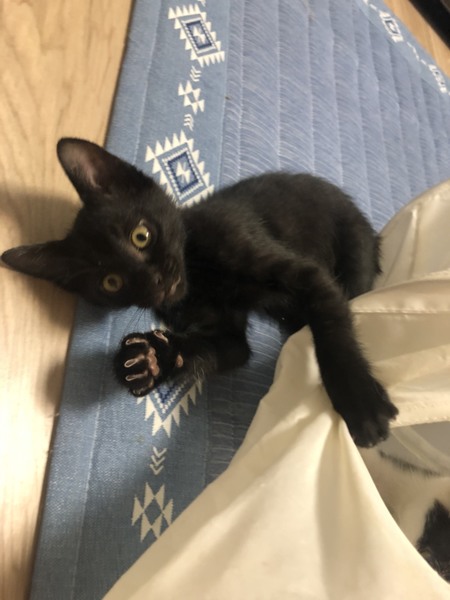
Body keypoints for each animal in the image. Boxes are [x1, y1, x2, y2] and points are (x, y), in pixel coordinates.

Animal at [2, 138, 398, 448]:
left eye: (141, 235)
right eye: (111, 282)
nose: (156, 282)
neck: (200, 279)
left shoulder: (305, 274)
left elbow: (333, 330)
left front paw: (360, 402)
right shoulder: (223, 335)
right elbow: (218, 349)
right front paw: (149, 358)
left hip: (354, 253)